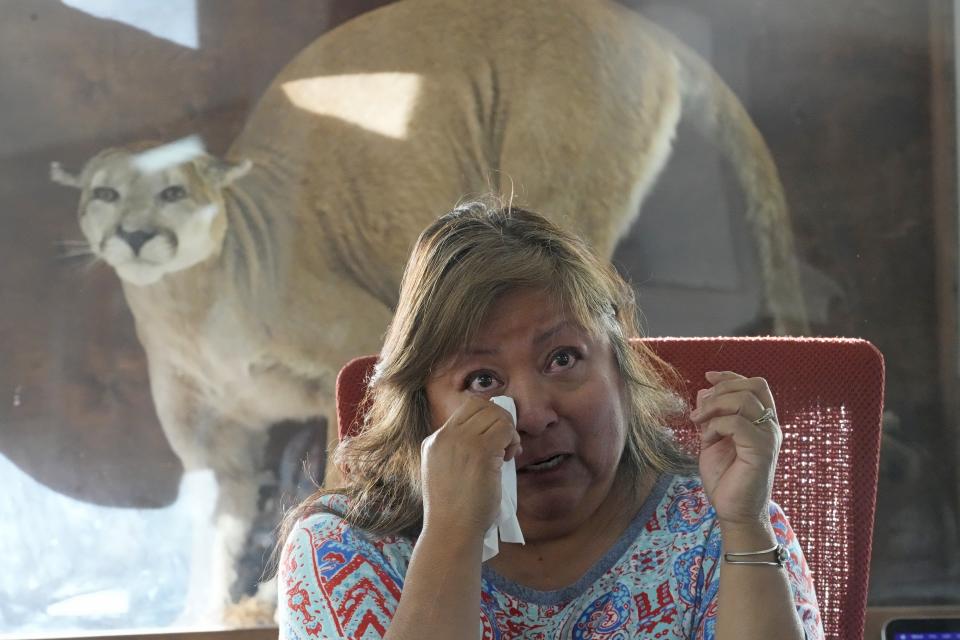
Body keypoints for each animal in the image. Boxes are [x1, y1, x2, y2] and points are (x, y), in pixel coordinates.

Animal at [48, 0, 808, 624]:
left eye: (173, 192)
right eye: (105, 193)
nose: (137, 235)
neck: (195, 313)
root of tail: (630, 20)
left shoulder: (347, 349)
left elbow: (333, 458)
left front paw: (265, 601)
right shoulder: (215, 449)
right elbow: (214, 535)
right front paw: (206, 610)